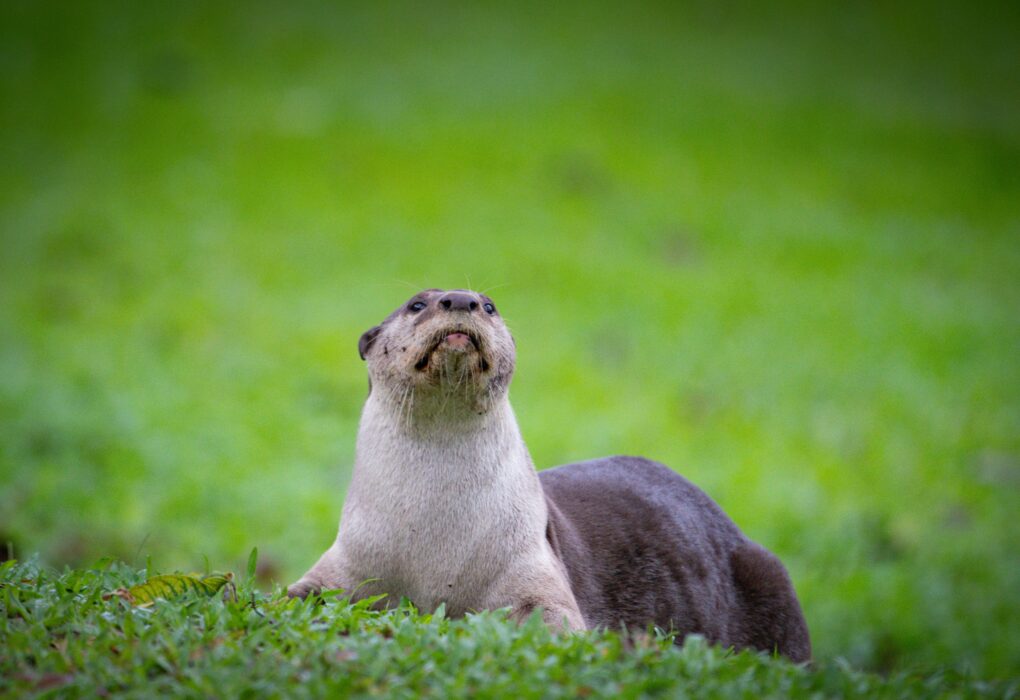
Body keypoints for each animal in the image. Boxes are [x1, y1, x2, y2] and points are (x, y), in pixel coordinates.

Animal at [288, 288, 810, 662]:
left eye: (489, 305)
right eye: (418, 304)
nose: (461, 300)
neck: (434, 542)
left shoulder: (534, 562)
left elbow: (549, 618)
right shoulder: (350, 558)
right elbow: (298, 594)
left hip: (772, 577)